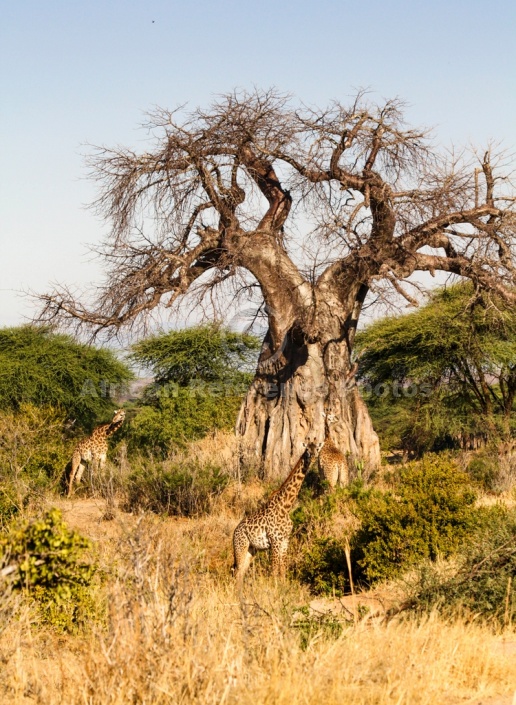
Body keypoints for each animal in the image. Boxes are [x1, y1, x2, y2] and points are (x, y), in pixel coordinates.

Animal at [232, 440, 316, 584]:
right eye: (307, 450)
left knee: (241, 572)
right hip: (241, 547)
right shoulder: (275, 541)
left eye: (317, 449)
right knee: (236, 571)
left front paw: (283, 586)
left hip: (251, 549)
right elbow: (274, 570)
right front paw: (275, 587)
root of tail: (234, 532)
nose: (313, 457)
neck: (286, 507)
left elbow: (282, 569)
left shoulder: (285, 540)